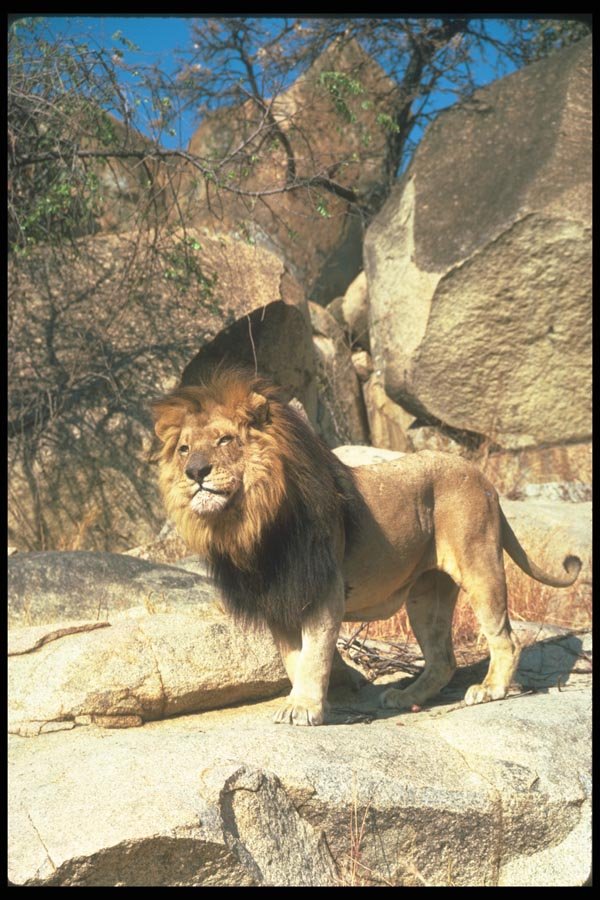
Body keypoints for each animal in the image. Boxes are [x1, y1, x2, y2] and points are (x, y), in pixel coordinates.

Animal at [151, 366, 581, 726]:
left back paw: (490, 689)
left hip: (479, 564)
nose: (195, 472)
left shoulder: (323, 593)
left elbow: (314, 656)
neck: (250, 523)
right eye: (184, 449)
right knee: (443, 659)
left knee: (505, 637)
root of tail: (482, 477)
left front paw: (304, 708)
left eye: (225, 440)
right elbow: (293, 659)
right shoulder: (279, 601)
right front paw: (305, 699)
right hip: (426, 593)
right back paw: (406, 697)